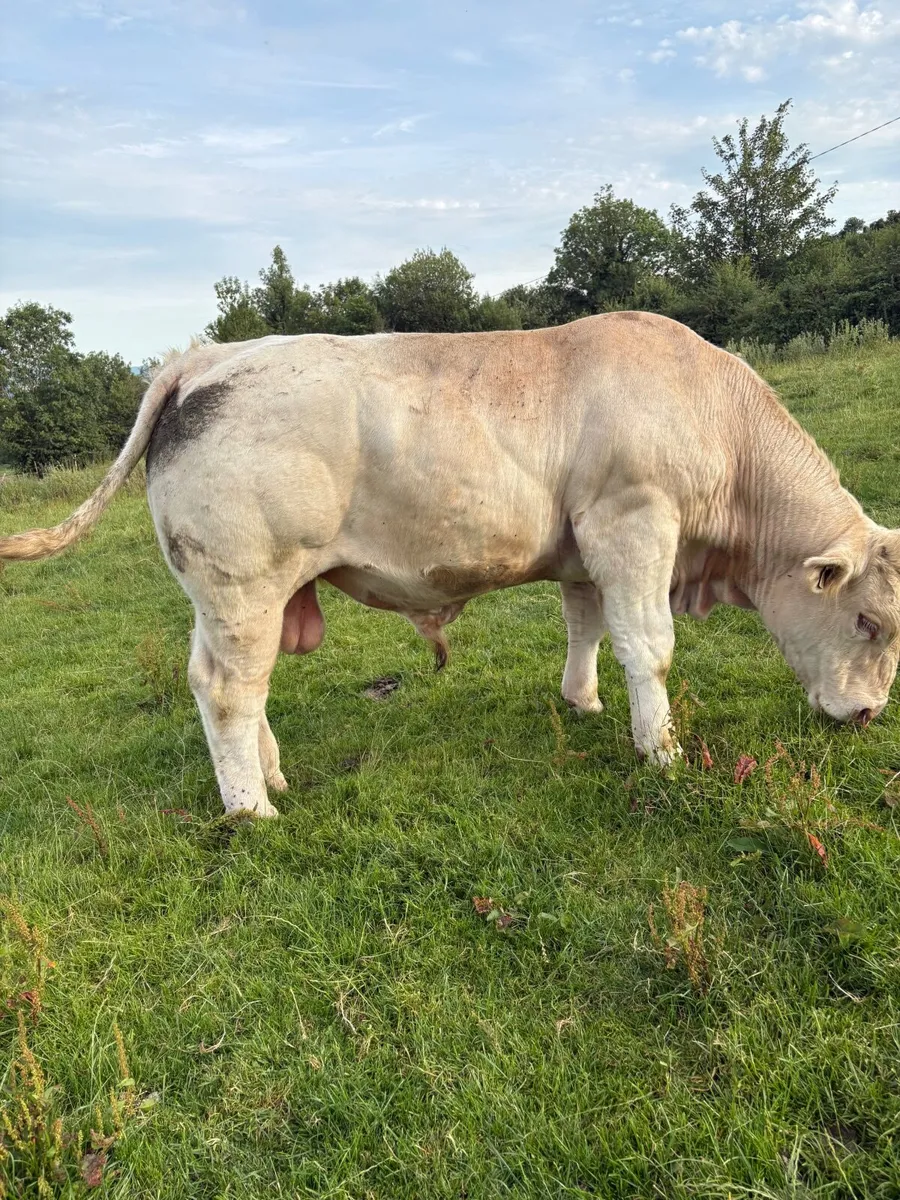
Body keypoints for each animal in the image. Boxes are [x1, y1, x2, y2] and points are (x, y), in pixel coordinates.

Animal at [1, 313, 898, 817]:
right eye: (867, 619)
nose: (867, 715)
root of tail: (206, 357)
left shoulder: (586, 547)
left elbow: (586, 628)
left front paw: (583, 701)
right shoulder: (635, 523)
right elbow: (649, 647)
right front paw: (662, 753)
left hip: (227, 596)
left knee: (224, 682)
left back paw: (272, 777)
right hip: (244, 581)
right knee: (228, 690)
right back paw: (252, 809)